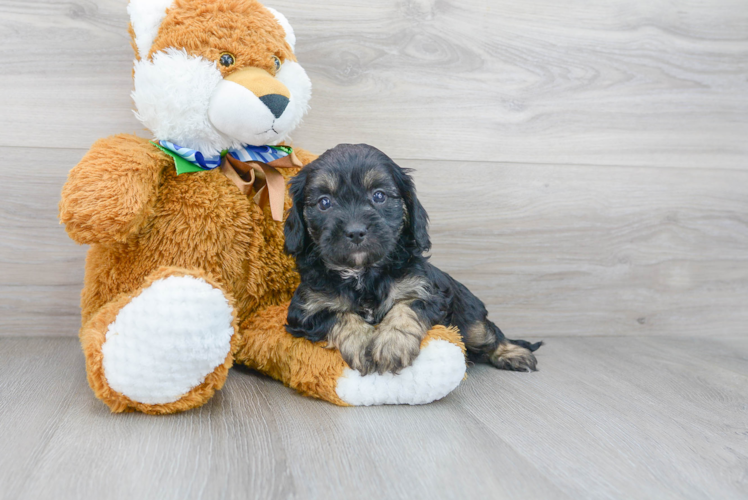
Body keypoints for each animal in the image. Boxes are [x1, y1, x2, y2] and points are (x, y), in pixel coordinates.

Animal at [284, 145, 540, 376]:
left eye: (379, 195)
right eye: (324, 202)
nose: (355, 231)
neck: (363, 273)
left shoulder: (427, 292)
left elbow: (405, 307)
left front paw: (392, 344)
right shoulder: (306, 309)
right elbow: (339, 314)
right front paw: (362, 342)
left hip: (469, 317)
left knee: (488, 333)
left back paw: (514, 353)